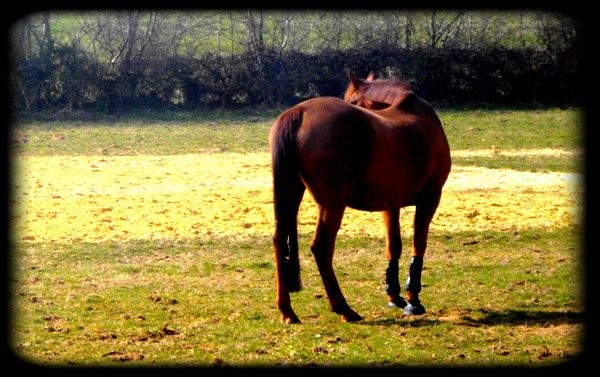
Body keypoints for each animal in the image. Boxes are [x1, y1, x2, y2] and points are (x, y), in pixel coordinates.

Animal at [268, 72, 450, 322]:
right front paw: (413, 300)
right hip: (332, 205)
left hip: (291, 192)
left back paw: (287, 310)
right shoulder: (430, 198)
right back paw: (342, 307)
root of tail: (298, 113)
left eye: (352, 100)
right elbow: (418, 245)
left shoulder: (390, 205)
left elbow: (394, 246)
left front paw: (394, 295)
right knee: (321, 248)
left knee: (279, 240)